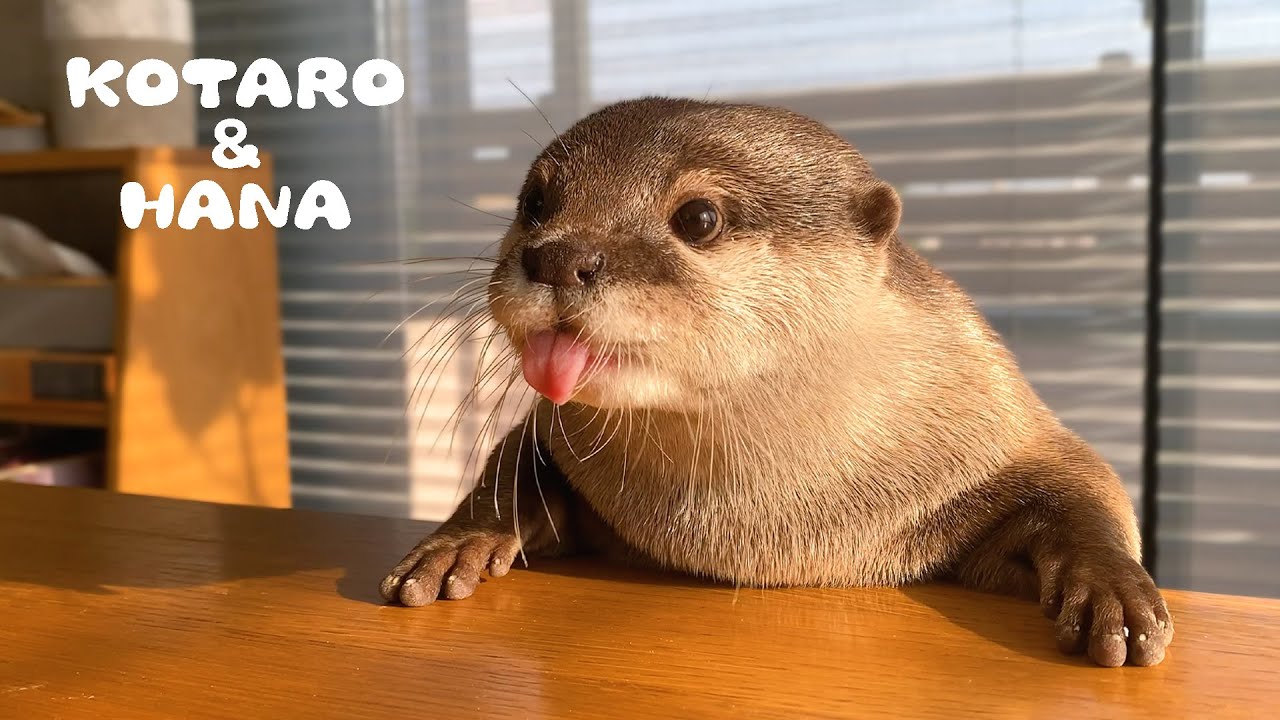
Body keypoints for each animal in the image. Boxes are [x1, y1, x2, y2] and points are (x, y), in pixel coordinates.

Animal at [379, 98, 1173, 668]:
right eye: (536, 202)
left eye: (699, 216)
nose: (557, 256)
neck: (773, 525)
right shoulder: (556, 432)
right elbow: (511, 462)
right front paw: (458, 542)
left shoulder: (1002, 427)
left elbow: (1085, 486)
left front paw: (1117, 595)